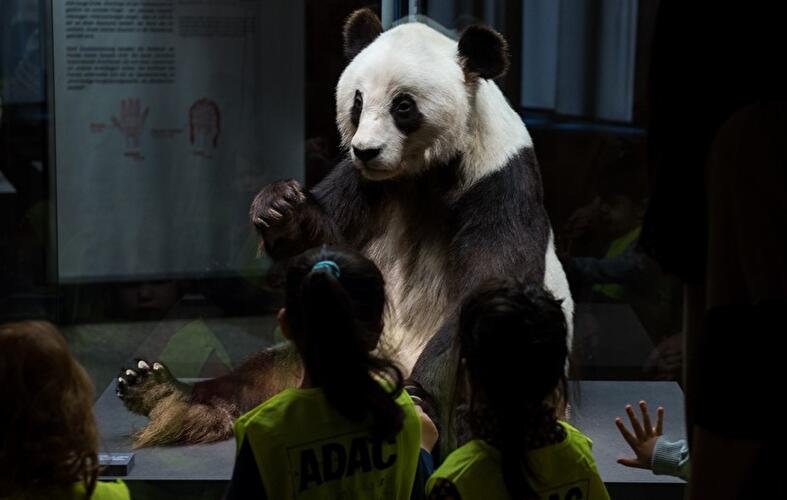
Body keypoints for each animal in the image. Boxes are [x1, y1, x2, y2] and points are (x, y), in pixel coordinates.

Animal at [117, 8, 573, 448]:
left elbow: (485, 291)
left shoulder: (499, 183)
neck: (423, 172)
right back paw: (164, 393)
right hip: (301, 361)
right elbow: (327, 250)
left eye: (403, 106)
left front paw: (422, 395)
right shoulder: (364, 184)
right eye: (357, 101)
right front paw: (280, 206)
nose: (366, 149)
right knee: (263, 371)